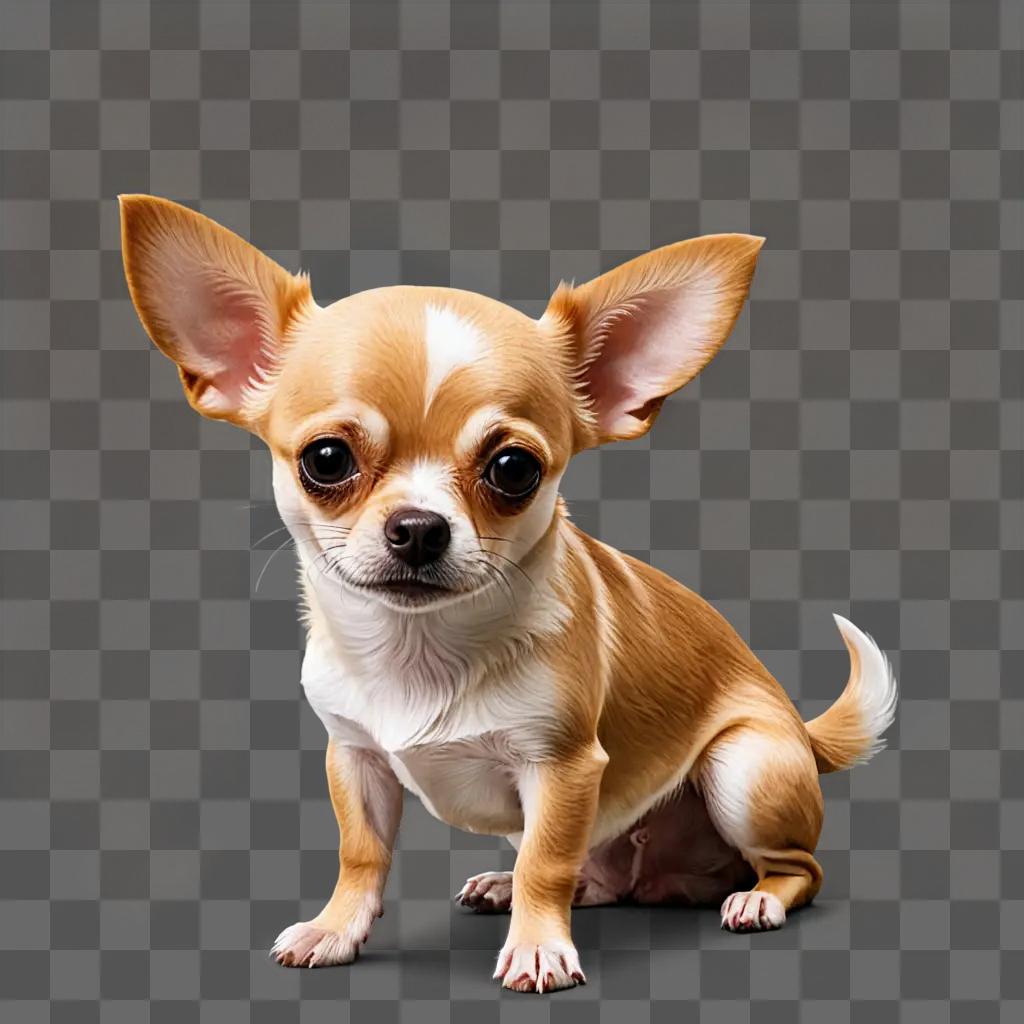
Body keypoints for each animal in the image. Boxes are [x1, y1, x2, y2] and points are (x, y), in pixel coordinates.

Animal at [121, 193, 897, 991]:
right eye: (326, 459)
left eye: (513, 469)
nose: (419, 528)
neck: (420, 650)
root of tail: (799, 732)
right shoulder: (355, 758)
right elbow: (362, 853)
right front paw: (336, 930)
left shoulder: (561, 769)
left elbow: (544, 862)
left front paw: (538, 948)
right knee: (602, 878)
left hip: (744, 768)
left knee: (798, 869)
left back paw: (758, 899)